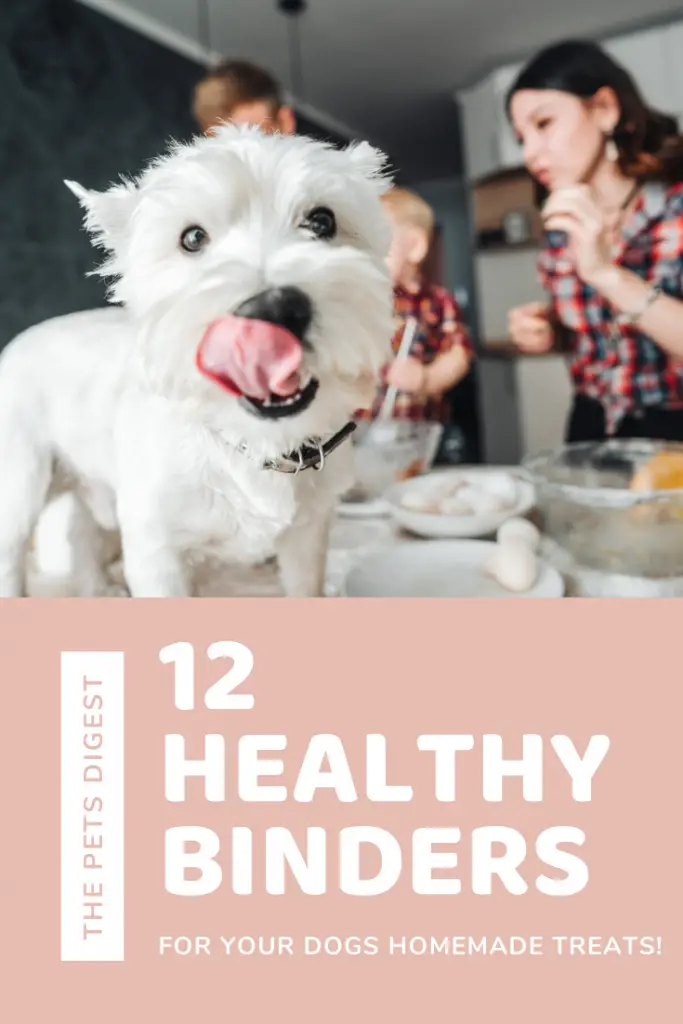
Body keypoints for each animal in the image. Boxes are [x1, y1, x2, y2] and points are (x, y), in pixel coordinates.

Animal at [0, 123, 395, 598]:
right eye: (192, 238)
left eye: (322, 220)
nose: (273, 309)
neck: (254, 443)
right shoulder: (156, 547)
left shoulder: (309, 534)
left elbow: (305, 587)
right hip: (22, 479)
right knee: (13, 548)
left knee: (83, 531)